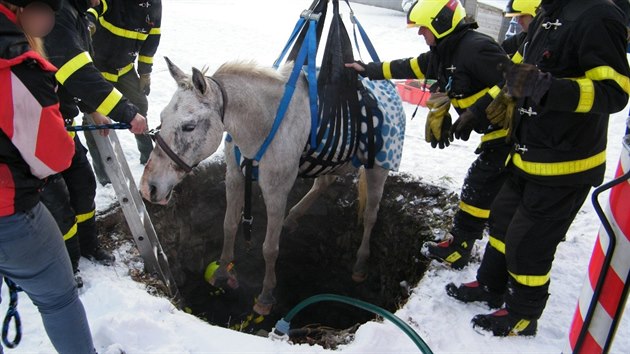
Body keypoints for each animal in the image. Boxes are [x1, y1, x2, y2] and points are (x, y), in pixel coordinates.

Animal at [141, 58, 402, 316]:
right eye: (162, 118)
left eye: (189, 126)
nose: (148, 187)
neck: (262, 124)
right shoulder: (234, 177)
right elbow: (229, 226)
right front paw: (222, 273)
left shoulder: (276, 190)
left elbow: (269, 248)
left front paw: (266, 297)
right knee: (324, 182)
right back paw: (293, 218)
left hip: (378, 167)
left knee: (370, 215)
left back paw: (360, 263)